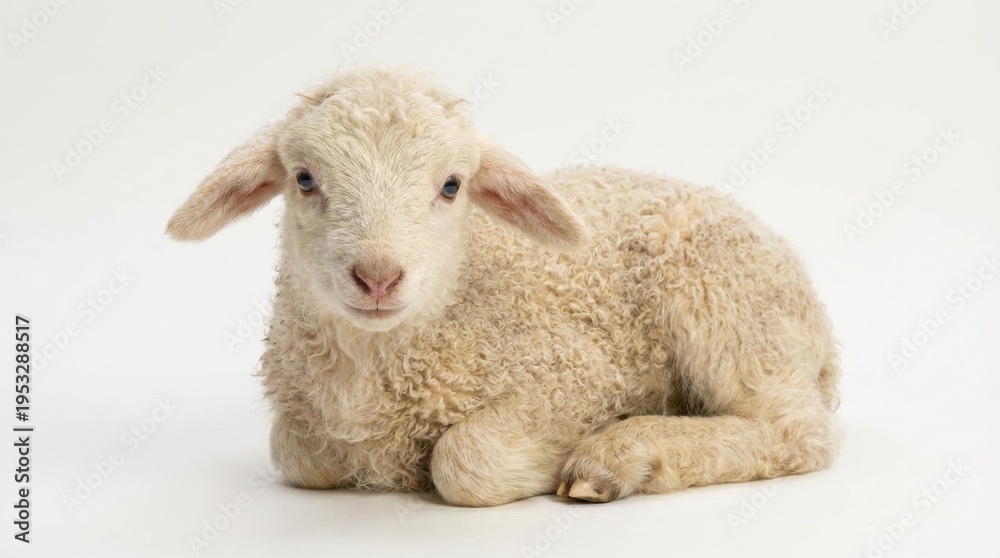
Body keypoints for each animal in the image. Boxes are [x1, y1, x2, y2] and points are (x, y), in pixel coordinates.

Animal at [166, 67, 841, 507]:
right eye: (305, 179)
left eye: (451, 186)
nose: (378, 277)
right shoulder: (305, 422)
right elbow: (301, 452)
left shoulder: (578, 375)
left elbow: (466, 461)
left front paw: (551, 460)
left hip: (722, 300)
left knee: (796, 432)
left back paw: (621, 455)